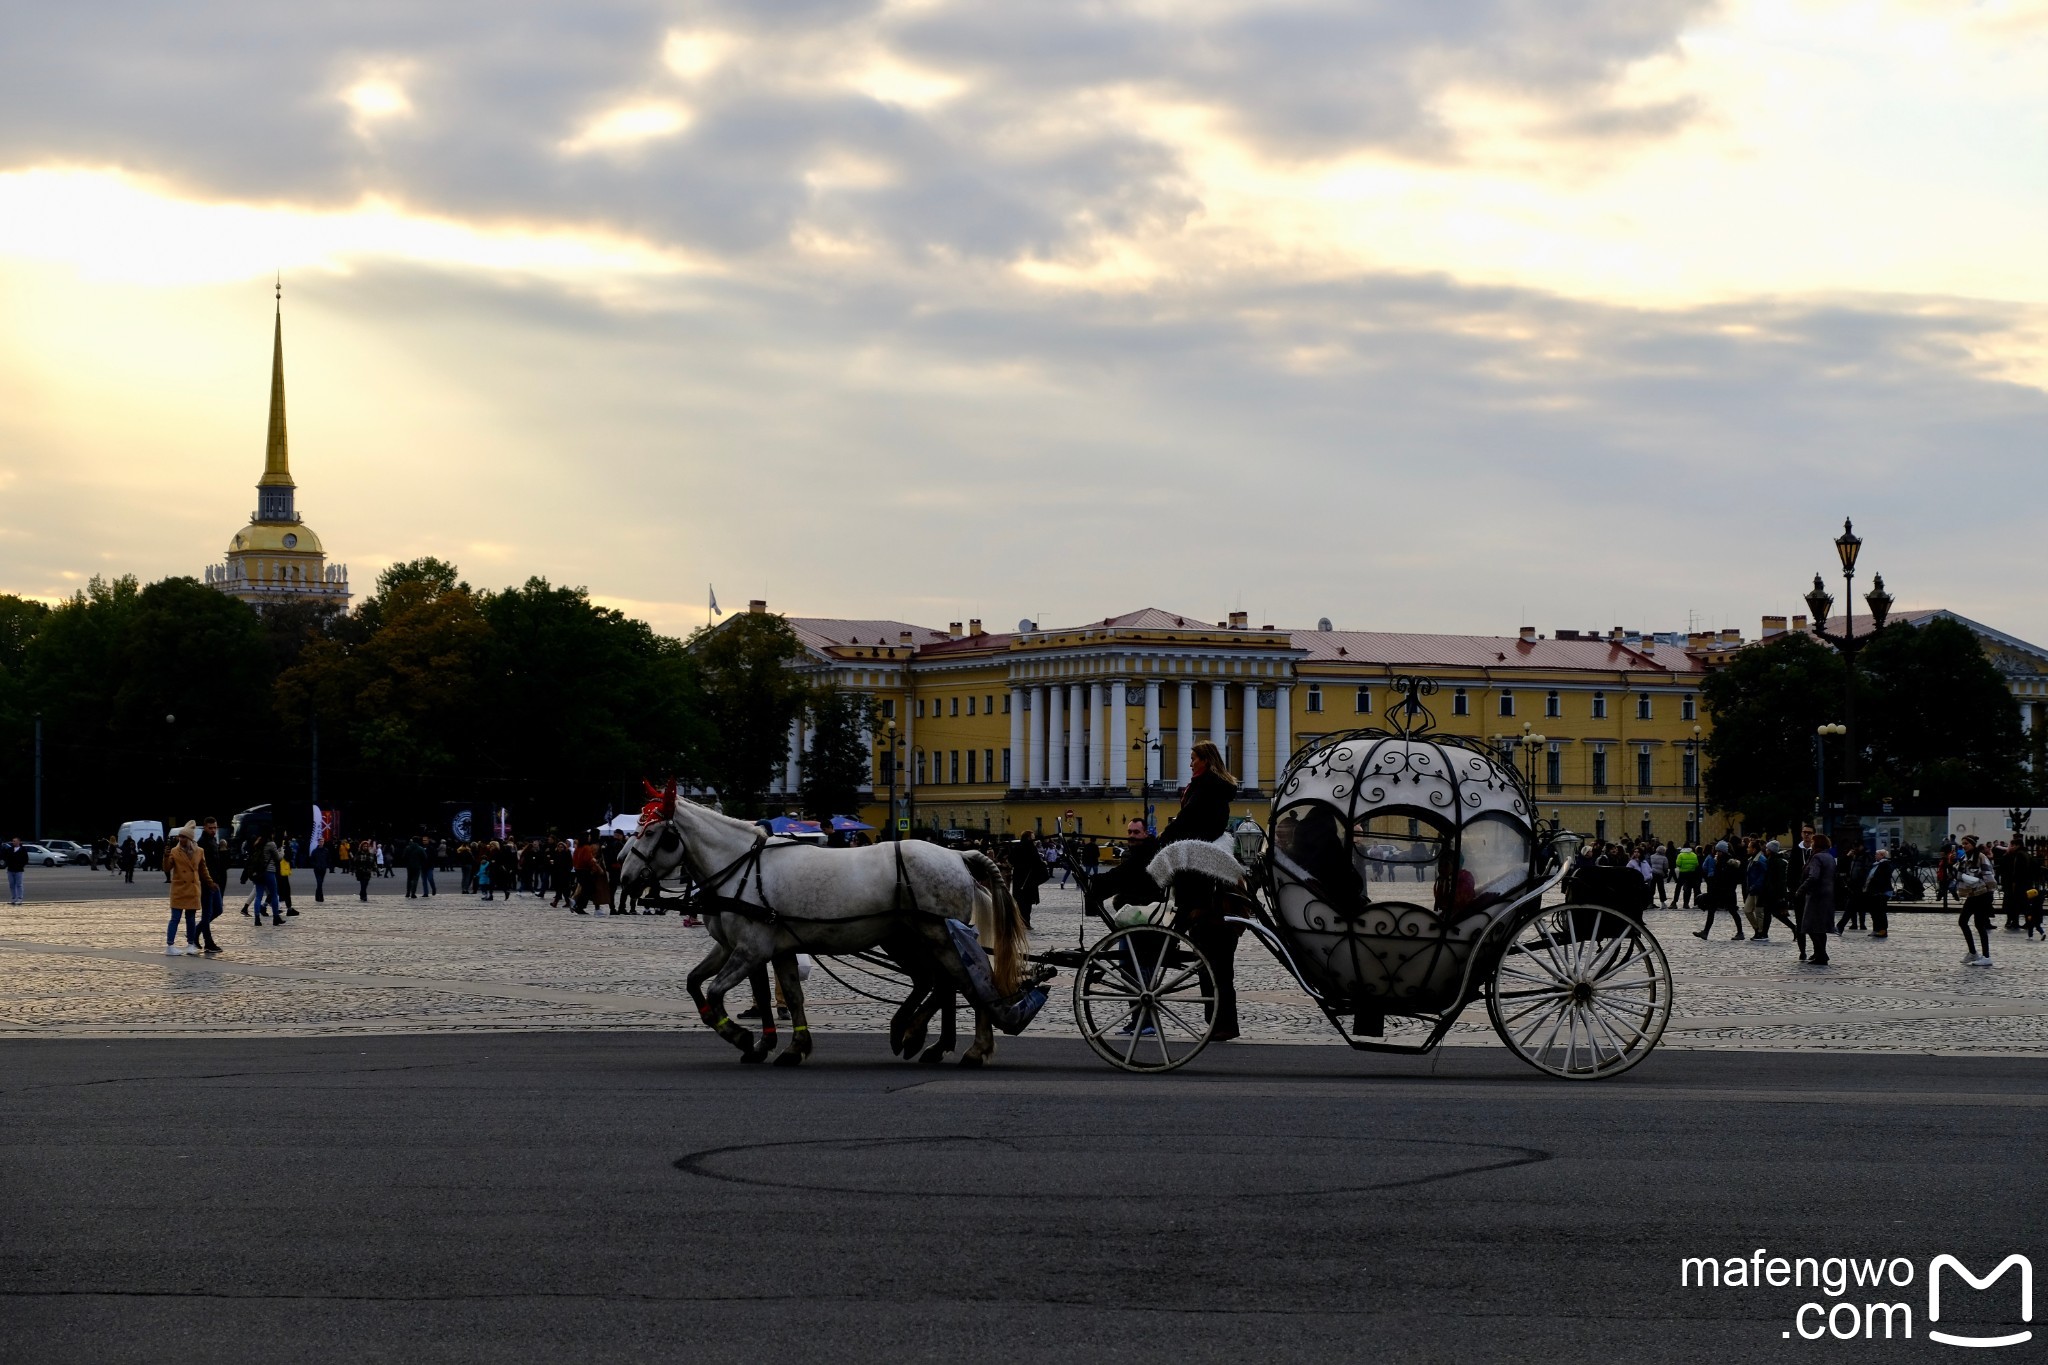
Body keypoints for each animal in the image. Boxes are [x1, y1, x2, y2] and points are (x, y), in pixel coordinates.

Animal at [606, 789, 1024, 1064]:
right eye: (638, 829)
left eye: (650, 833)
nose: (625, 878)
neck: (742, 868)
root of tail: (958, 855)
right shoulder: (753, 948)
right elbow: (763, 992)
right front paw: (790, 1046)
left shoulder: (750, 950)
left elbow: (714, 991)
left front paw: (741, 1037)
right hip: (908, 939)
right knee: (941, 983)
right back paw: (919, 1037)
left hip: (937, 936)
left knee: (969, 983)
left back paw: (967, 1047)